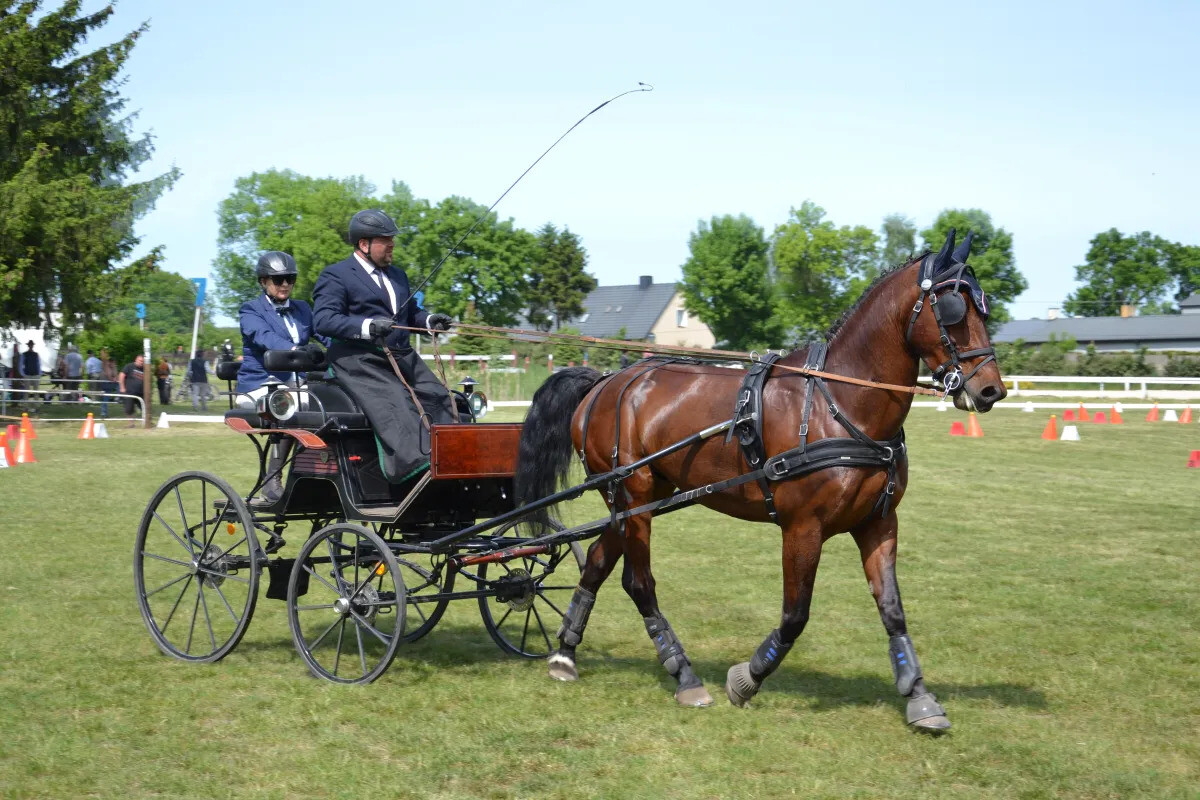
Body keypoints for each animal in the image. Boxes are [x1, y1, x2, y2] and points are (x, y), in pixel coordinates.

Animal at [513, 230, 1003, 734]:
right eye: (953, 308)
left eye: (985, 308)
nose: (991, 390)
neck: (837, 402)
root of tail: (605, 381)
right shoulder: (803, 528)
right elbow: (795, 616)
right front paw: (746, 679)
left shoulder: (879, 523)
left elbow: (892, 610)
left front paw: (920, 697)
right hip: (634, 495)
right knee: (638, 581)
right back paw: (684, 674)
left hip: (633, 501)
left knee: (596, 560)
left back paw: (565, 654)